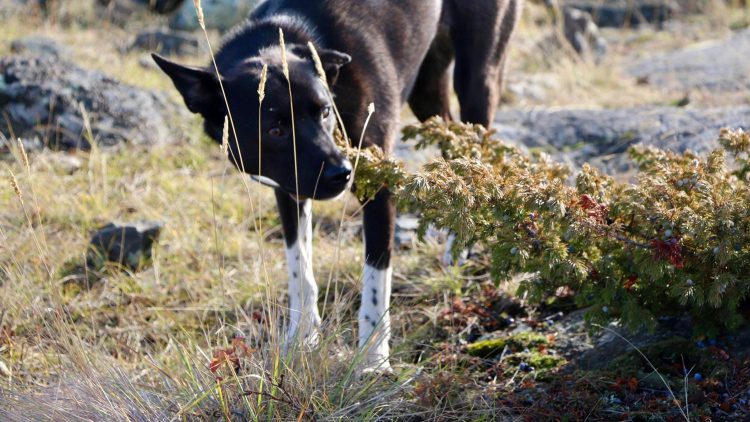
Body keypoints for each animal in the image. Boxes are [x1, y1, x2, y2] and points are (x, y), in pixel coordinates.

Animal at [153, 0, 524, 370]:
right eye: (275, 129)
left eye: (325, 112)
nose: (342, 173)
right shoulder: (289, 188)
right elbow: (300, 270)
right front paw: (303, 339)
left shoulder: (379, 189)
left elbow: (375, 281)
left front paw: (373, 360)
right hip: (427, 90)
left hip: (477, 77)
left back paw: (461, 245)